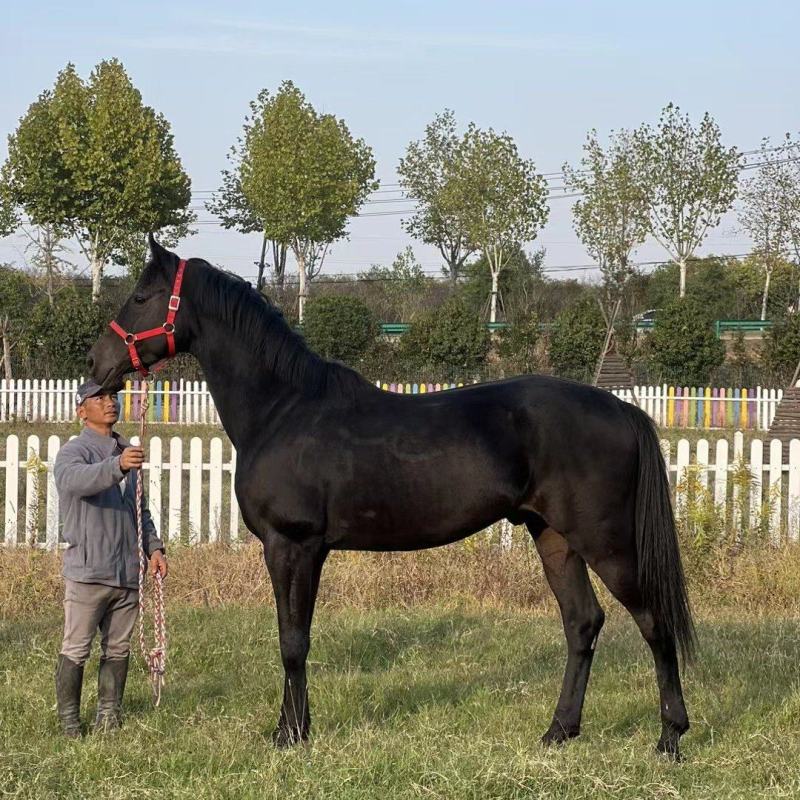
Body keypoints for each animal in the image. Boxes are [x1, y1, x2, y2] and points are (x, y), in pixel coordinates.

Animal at [87, 235, 695, 758]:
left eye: (140, 297)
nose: (96, 366)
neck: (284, 409)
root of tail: (622, 410)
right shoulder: (303, 551)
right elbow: (295, 638)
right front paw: (296, 727)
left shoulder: (292, 546)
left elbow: (292, 642)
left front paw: (290, 735)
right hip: (554, 538)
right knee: (583, 624)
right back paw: (559, 731)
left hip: (608, 543)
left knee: (653, 622)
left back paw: (670, 737)